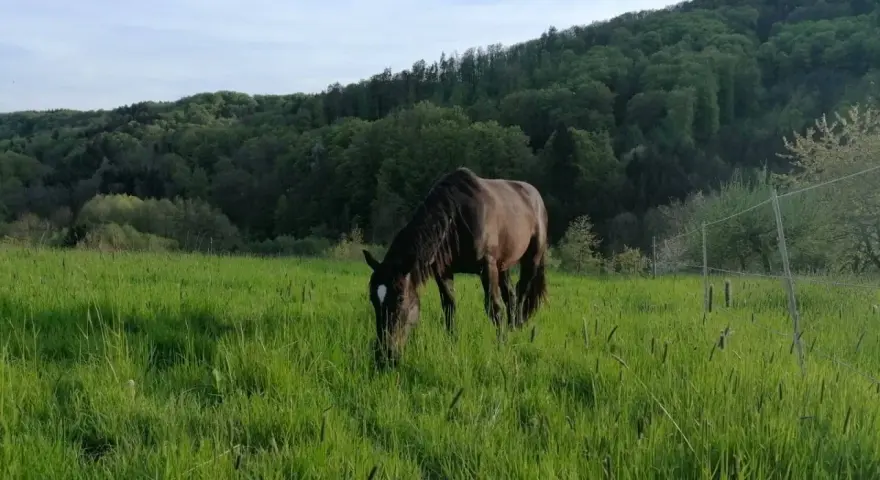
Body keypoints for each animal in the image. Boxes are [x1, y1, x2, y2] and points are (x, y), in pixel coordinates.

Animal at [362, 166, 549, 366]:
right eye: (372, 299)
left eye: (400, 299)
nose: (385, 356)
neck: (456, 217)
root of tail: (536, 196)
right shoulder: (443, 271)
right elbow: (449, 307)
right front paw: (452, 343)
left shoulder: (487, 265)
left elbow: (494, 307)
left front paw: (501, 345)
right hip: (503, 265)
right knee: (511, 296)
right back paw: (512, 328)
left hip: (531, 258)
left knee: (522, 293)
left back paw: (517, 330)